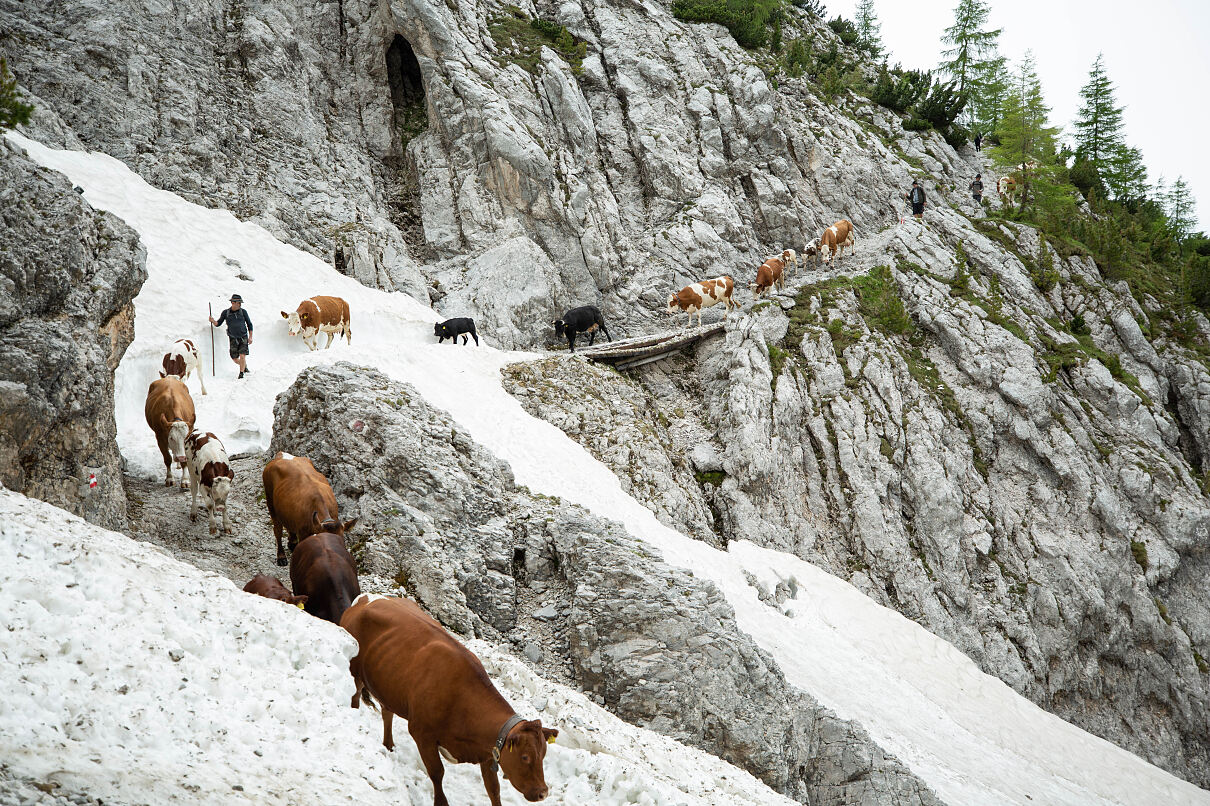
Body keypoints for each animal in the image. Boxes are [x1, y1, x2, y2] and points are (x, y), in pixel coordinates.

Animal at [341, 593, 556, 798]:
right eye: (525, 757)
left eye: (543, 755)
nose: (543, 793)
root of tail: (366, 599)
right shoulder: (422, 734)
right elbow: (437, 773)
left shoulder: (488, 752)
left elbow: (493, 789)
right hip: (355, 670)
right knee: (355, 695)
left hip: (388, 684)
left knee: (387, 712)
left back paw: (389, 745)